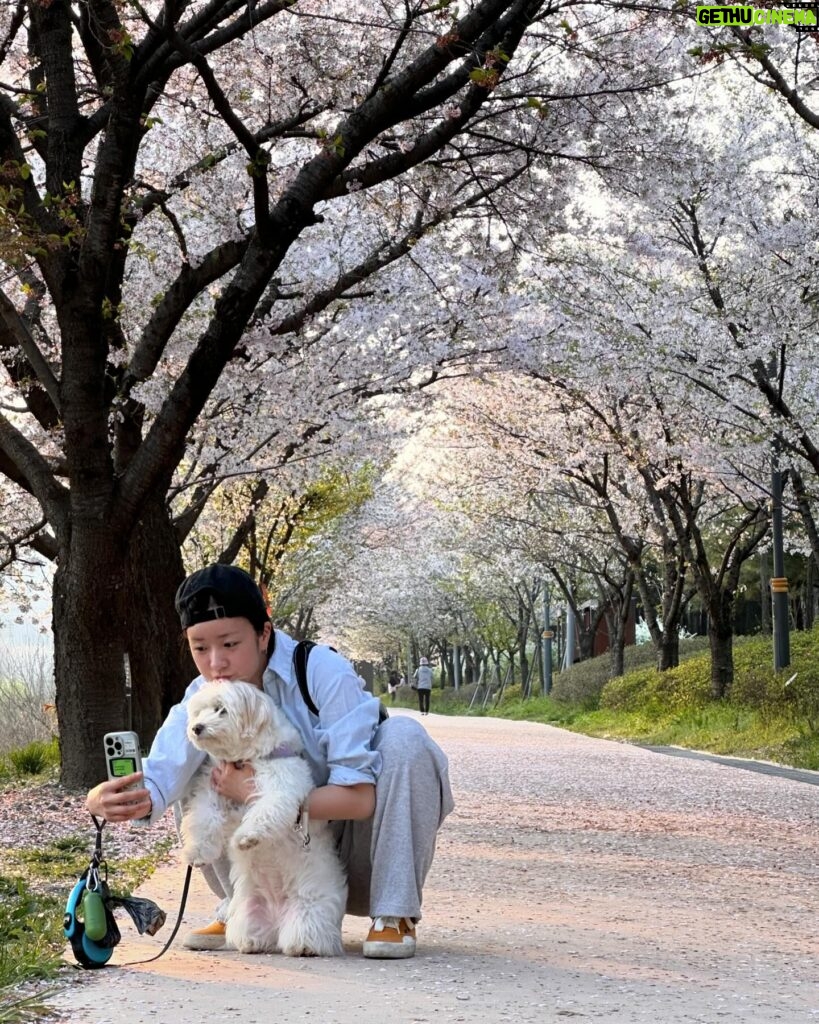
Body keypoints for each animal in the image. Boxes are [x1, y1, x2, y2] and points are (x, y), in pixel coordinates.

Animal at [179, 684, 346, 954]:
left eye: (221, 710)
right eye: (199, 711)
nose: (197, 727)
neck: (248, 758)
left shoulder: (282, 785)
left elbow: (266, 810)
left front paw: (246, 837)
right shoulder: (211, 791)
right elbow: (204, 818)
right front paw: (197, 851)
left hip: (309, 907)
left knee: (306, 929)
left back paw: (304, 946)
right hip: (248, 913)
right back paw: (251, 943)